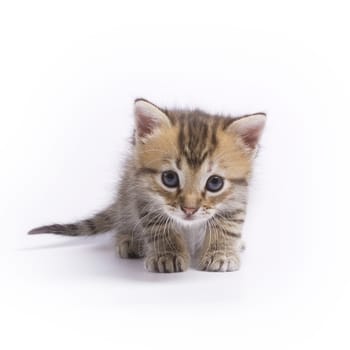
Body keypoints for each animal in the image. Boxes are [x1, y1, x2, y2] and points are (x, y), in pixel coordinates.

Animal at [28, 98, 266, 274]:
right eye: (169, 178)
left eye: (215, 183)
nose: (189, 209)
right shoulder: (142, 194)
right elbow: (158, 226)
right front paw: (167, 254)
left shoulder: (237, 199)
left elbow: (228, 225)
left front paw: (221, 253)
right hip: (125, 192)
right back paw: (129, 240)